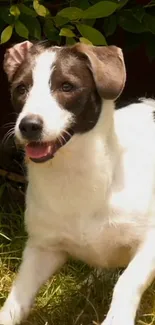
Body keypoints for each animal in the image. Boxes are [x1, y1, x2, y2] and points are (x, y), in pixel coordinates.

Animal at [0, 41, 155, 324]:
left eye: (67, 86)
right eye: (21, 88)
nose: (29, 125)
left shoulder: (150, 242)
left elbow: (127, 282)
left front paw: (117, 318)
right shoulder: (43, 247)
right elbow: (17, 297)